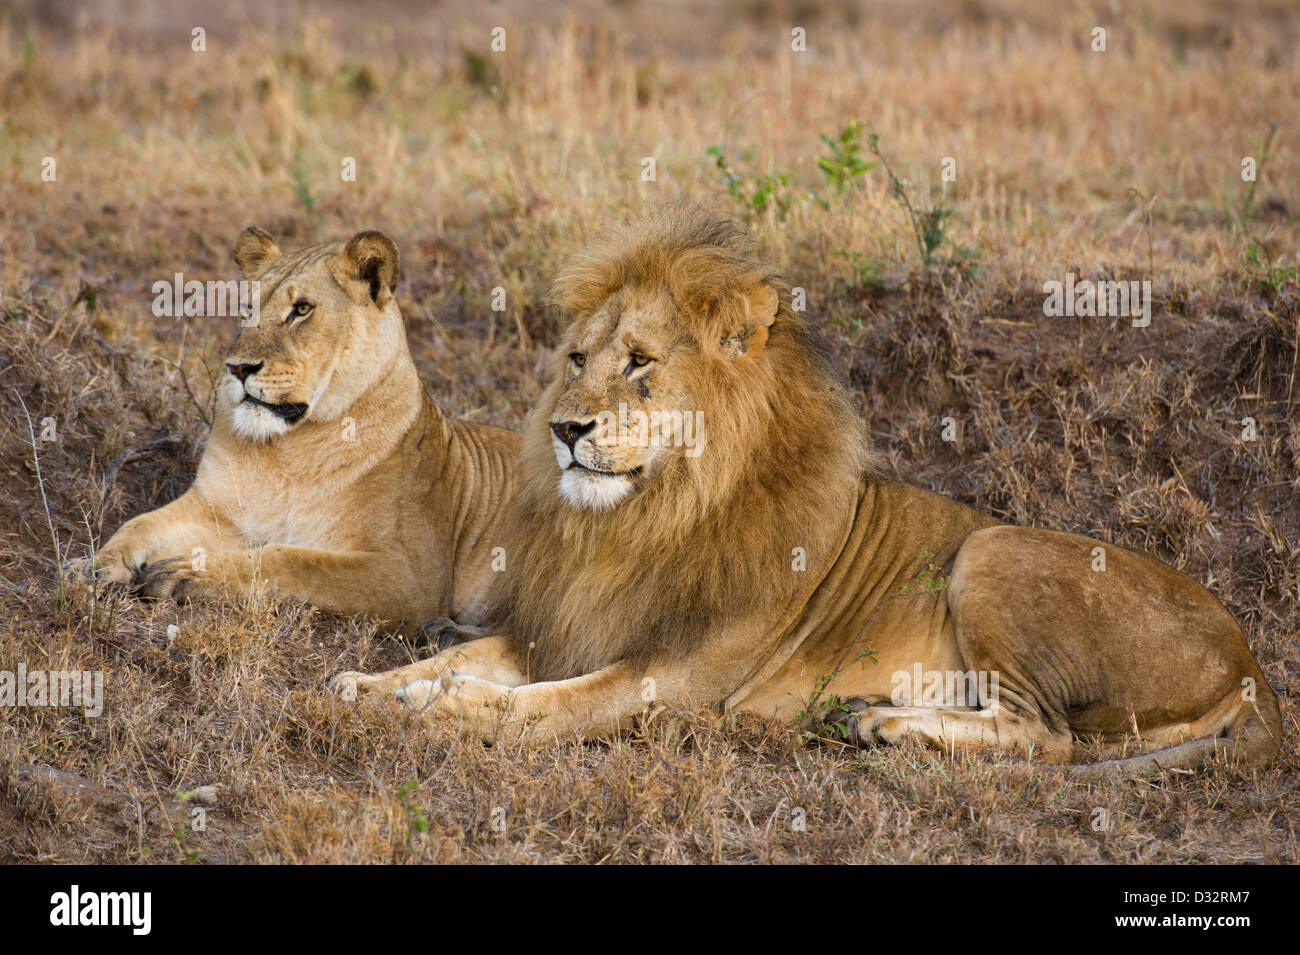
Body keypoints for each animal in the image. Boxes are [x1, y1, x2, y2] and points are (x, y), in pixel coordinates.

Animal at [65, 228, 520, 633]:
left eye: (301, 310)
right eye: (247, 308)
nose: (238, 368)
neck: (289, 452)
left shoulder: (412, 576)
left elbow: (294, 560)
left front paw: (189, 573)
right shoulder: (215, 511)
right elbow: (138, 524)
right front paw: (94, 566)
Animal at [331, 207, 1280, 776]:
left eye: (639, 363)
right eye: (574, 359)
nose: (565, 428)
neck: (643, 521)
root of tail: (1250, 664)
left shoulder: (679, 676)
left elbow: (543, 704)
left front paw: (453, 710)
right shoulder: (566, 625)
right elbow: (455, 659)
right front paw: (372, 685)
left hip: (993, 549)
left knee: (1044, 736)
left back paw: (884, 725)